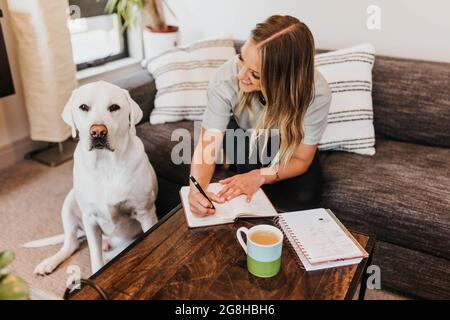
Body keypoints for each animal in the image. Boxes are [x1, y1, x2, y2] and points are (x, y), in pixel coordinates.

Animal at [24, 80, 159, 276]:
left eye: (114, 107)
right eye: (83, 107)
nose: (98, 132)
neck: (105, 164)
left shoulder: (145, 213)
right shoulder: (90, 220)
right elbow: (96, 260)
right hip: (70, 202)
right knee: (71, 244)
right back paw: (49, 263)